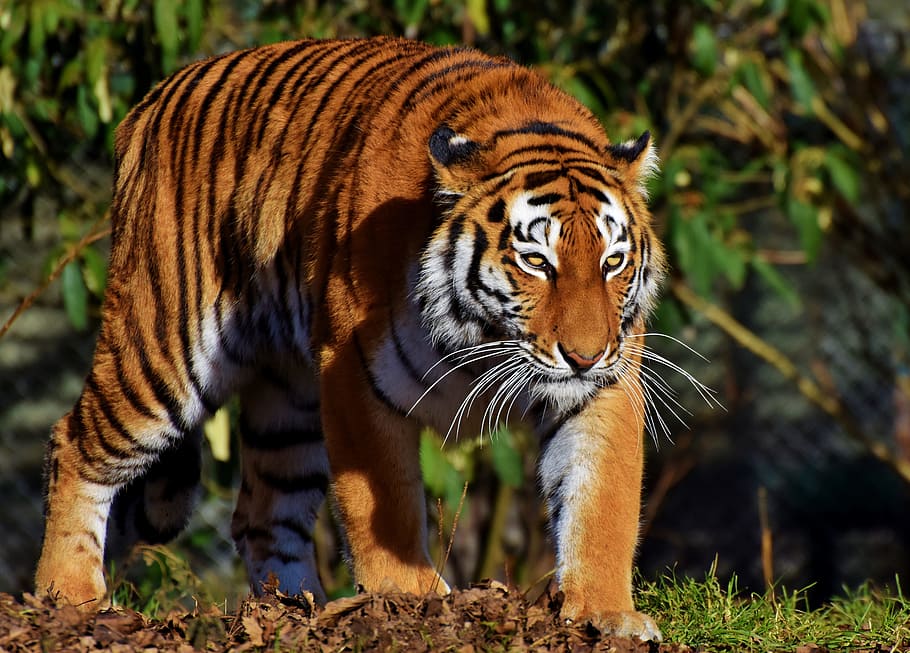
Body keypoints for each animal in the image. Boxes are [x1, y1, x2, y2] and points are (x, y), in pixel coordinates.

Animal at [35, 35, 666, 640]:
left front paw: (607, 614)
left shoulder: (603, 388)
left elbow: (601, 501)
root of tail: (152, 100)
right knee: (75, 442)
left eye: (612, 262)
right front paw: (411, 600)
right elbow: (384, 502)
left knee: (263, 513)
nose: (584, 356)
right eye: (536, 261)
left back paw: (298, 612)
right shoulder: (356, 373)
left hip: (289, 400)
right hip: (164, 348)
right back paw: (70, 595)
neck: (484, 337)